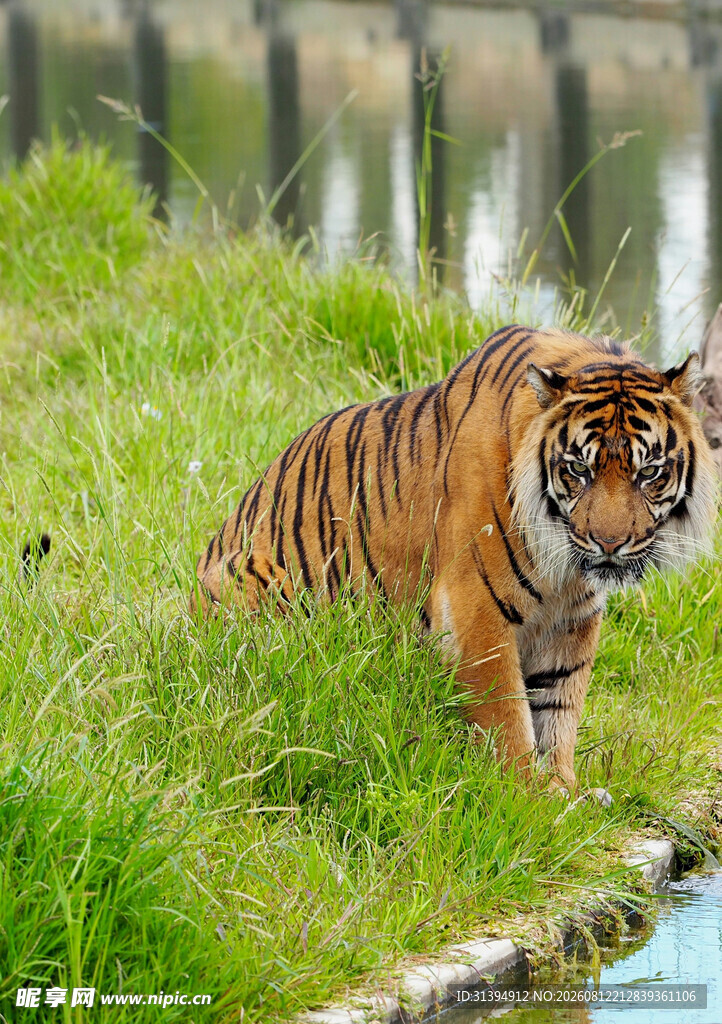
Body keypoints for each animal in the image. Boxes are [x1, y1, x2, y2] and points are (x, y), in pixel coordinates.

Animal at [192, 325, 717, 791]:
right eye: (577, 469)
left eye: (648, 472)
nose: (608, 543)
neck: (564, 569)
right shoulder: (475, 605)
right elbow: (506, 711)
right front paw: (525, 795)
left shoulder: (572, 619)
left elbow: (559, 708)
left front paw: (563, 789)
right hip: (262, 580)